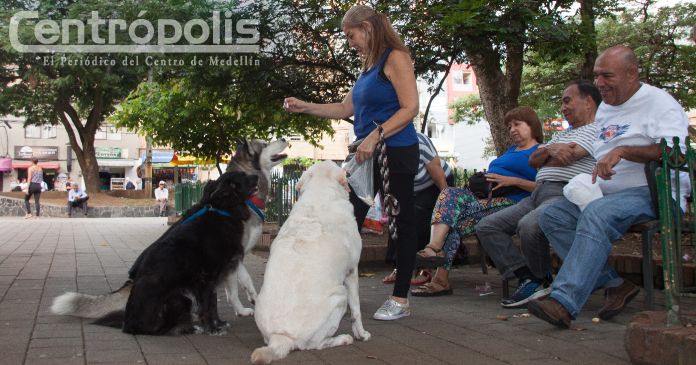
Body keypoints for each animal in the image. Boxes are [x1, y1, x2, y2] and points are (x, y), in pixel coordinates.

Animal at [52, 172, 258, 334]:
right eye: (244, 176)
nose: (257, 176)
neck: (222, 211)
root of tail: (127, 324)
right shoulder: (207, 277)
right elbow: (208, 305)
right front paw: (213, 329)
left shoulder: (216, 275)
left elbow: (213, 304)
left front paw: (218, 324)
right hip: (178, 298)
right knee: (158, 327)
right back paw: (186, 328)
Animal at [250, 161, 370, 362]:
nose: (349, 169)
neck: (319, 193)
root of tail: (281, 337)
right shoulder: (352, 271)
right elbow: (356, 310)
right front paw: (361, 334)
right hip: (341, 295)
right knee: (317, 345)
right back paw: (343, 339)